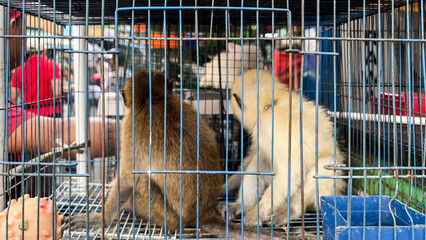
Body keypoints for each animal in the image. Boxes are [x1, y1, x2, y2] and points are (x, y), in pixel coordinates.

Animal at [69, 70, 282, 239]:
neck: (154, 99)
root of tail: (202, 213)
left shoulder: (130, 126)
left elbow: (128, 179)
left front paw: (100, 219)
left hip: (167, 215)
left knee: (141, 181)